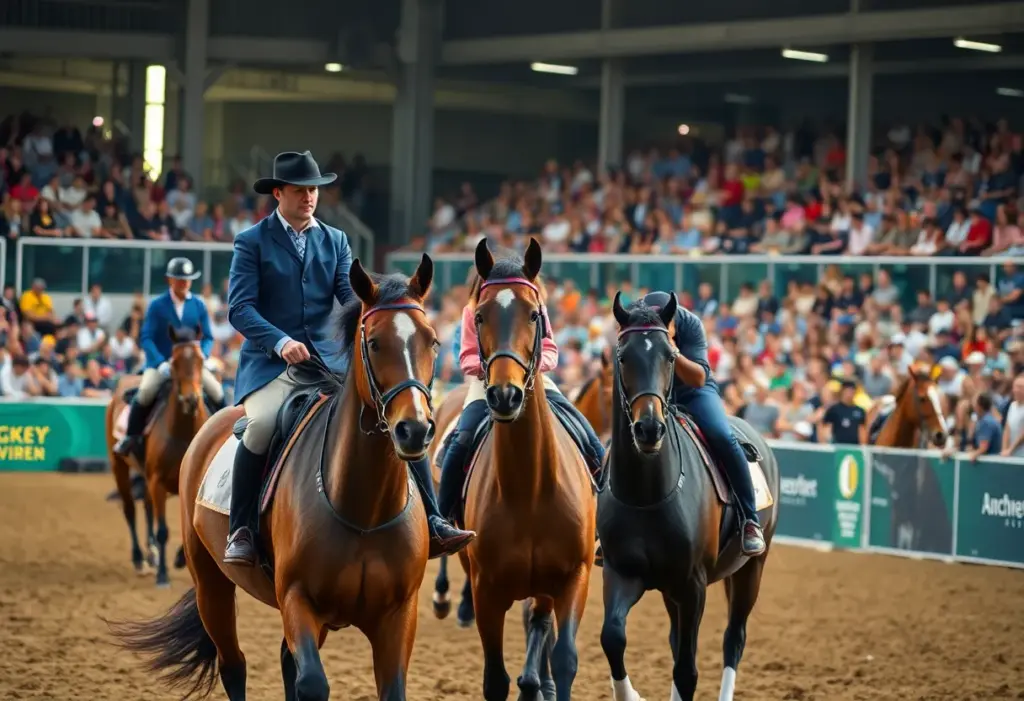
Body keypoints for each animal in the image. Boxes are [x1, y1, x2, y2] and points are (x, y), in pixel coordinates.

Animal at [106, 325, 209, 587]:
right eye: (173, 362)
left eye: (201, 360)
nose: (191, 400)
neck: (183, 433)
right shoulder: (158, 481)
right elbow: (163, 530)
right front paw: (163, 574)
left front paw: (179, 558)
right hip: (119, 466)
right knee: (130, 509)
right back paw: (140, 559)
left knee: (147, 507)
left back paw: (151, 555)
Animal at [459, 238, 596, 701]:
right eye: (479, 316)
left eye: (535, 314)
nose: (505, 395)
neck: (531, 488)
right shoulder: (486, 588)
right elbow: (494, 679)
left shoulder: (573, 577)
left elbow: (566, 656)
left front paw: (546, 681)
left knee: (540, 623)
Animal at [598, 292, 779, 701]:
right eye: (623, 357)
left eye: (669, 357)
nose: (649, 428)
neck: (646, 495)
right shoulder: (621, 573)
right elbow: (612, 638)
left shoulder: (693, 585)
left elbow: (687, 670)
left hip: (752, 570)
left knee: (734, 639)